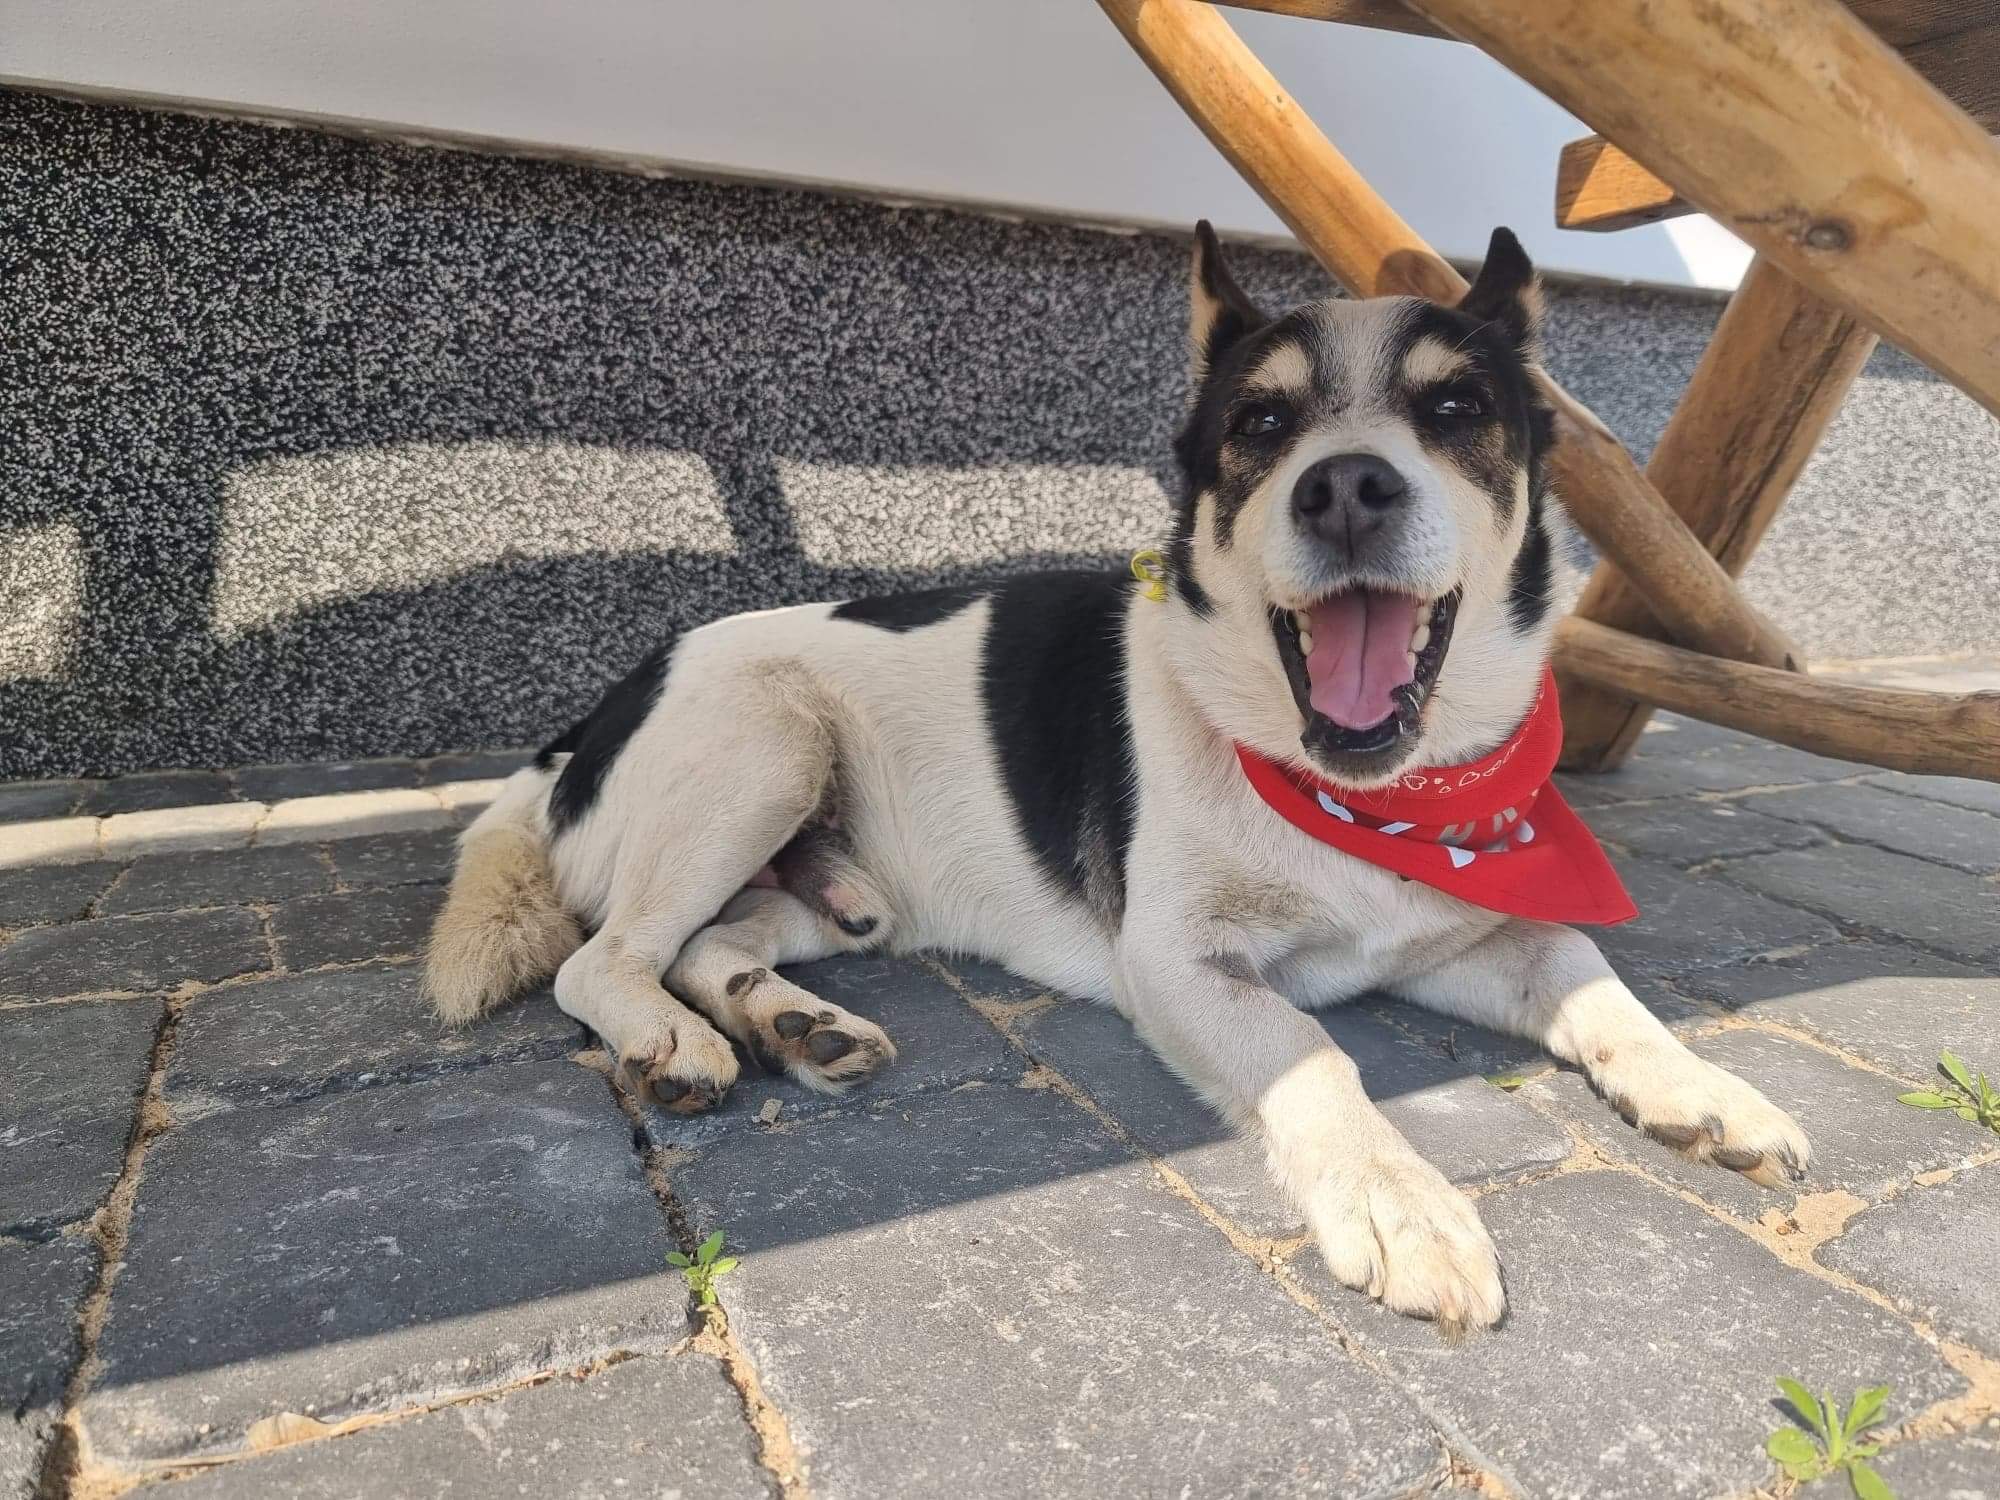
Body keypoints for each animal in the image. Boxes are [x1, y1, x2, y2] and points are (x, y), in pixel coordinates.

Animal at [424, 223, 1809, 1333]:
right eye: (1259, 424)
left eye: (1456, 412)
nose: (1346, 487)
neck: (1362, 794)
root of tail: (589, 718)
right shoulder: (1180, 960)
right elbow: (1311, 1053)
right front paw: (1398, 1200)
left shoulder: (1466, 929)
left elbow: (1585, 969)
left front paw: (1701, 1085)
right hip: (764, 741)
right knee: (605, 961)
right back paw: (677, 1041)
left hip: (836, 893)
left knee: (715, 943)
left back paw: (792, 1024)